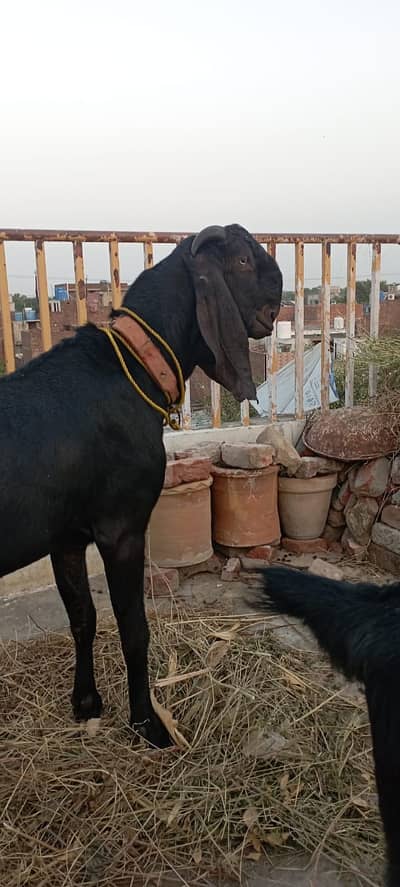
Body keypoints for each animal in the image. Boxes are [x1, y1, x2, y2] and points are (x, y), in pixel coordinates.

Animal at [0, 224, 282, 748]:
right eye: (241, 262)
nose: (277, 298)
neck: (135, 367)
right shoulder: (122, 528)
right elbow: (133, 627)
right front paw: (148, 723)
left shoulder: (66, 536)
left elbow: (83, 617)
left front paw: (86, 703)